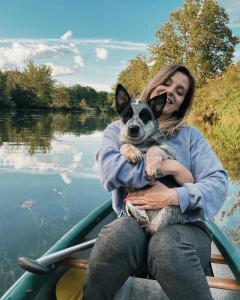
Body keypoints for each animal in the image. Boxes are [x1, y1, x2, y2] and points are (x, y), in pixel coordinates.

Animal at [115, 83, 185, 236]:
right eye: (127, 115)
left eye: (145, 116)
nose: (133, 128)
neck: (141, 144)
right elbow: (124, 145)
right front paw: (132, 152)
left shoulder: (171, 153)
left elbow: (154, 148)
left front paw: (151, 166)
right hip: (129, 201)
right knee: (141, 215)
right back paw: (141, 220)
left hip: (170, 207)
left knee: (156, 226)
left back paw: (149, 226)